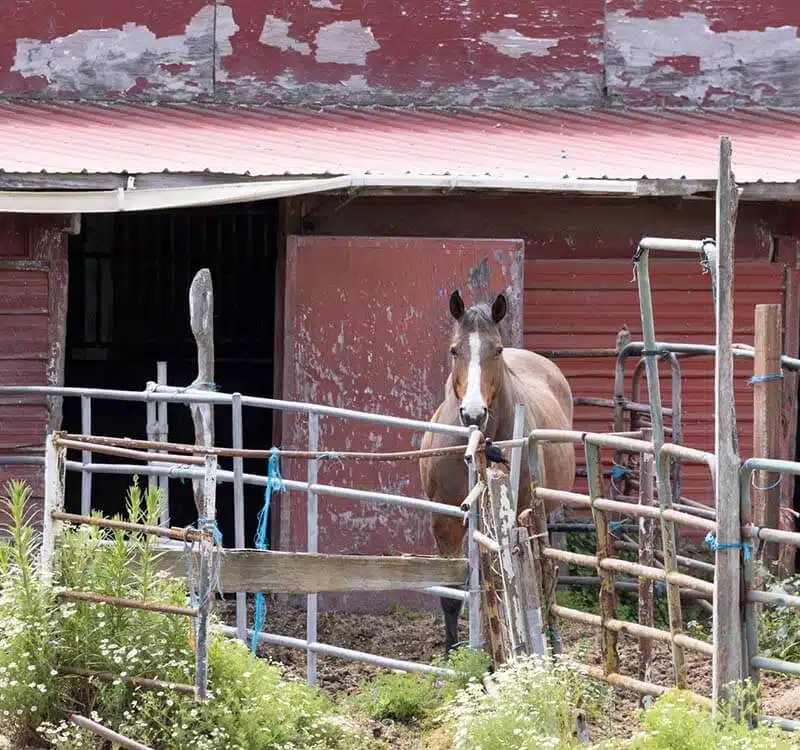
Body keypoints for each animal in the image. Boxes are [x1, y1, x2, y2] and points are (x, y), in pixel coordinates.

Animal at [419, 289, 576, 655]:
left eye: (497, 350)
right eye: (455, 350)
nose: (473, 413)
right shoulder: (444, 520)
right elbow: (452, 596)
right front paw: (450, 656)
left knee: (545, 576)